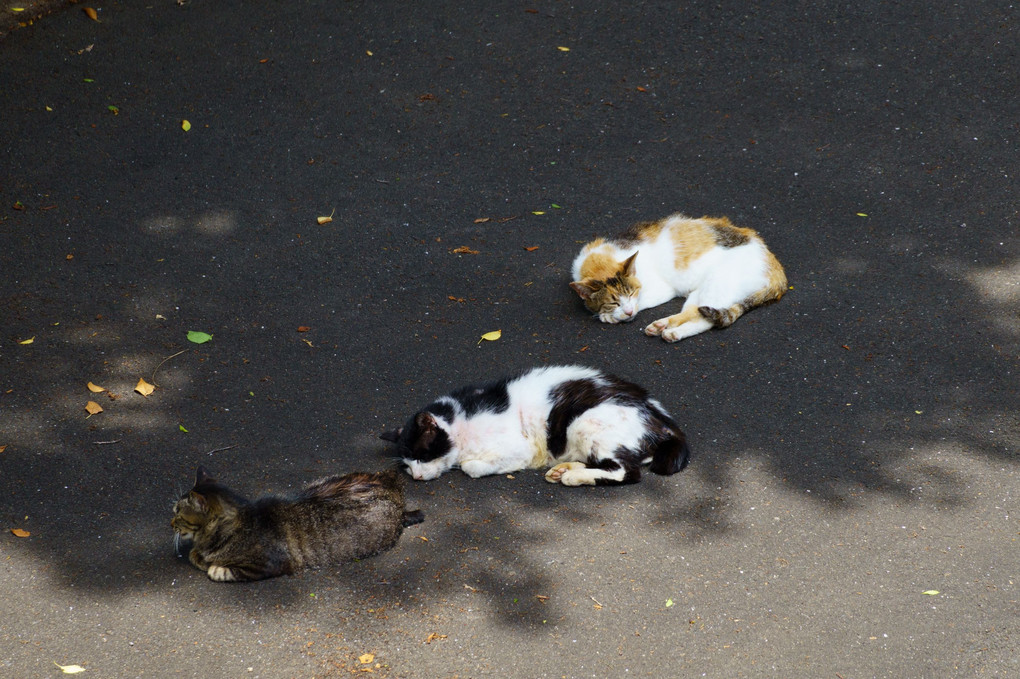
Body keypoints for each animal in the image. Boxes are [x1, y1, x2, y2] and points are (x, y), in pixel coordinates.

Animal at [170, 464, 422, 583]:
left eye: (177, 512)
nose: (171, 523)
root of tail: (393, 485)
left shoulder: (265, 565)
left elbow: (220, 569)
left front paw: (211, 565)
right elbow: (195, 555)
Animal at [379, 364, 689, 487]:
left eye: (422, 456)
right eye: (406, 465)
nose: (416, 476)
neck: (461, 422)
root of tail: (665, 420)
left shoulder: (519, 448)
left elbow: (471, 467)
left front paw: (474, 465)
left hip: (585, 421)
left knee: (627, 472)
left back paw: (573, 477)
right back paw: (564, 469)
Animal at [571, 213, 783, 340]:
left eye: (631, 294)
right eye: (613, 301)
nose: (628, 312)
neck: (602, 256)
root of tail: (775, 265)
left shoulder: (660, 290)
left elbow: (640, 302)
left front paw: (610, 316)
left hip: (717, 283)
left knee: (705, 319)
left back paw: (672, 333)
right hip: (701, 292)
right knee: (694, 311)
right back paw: (662, 325)